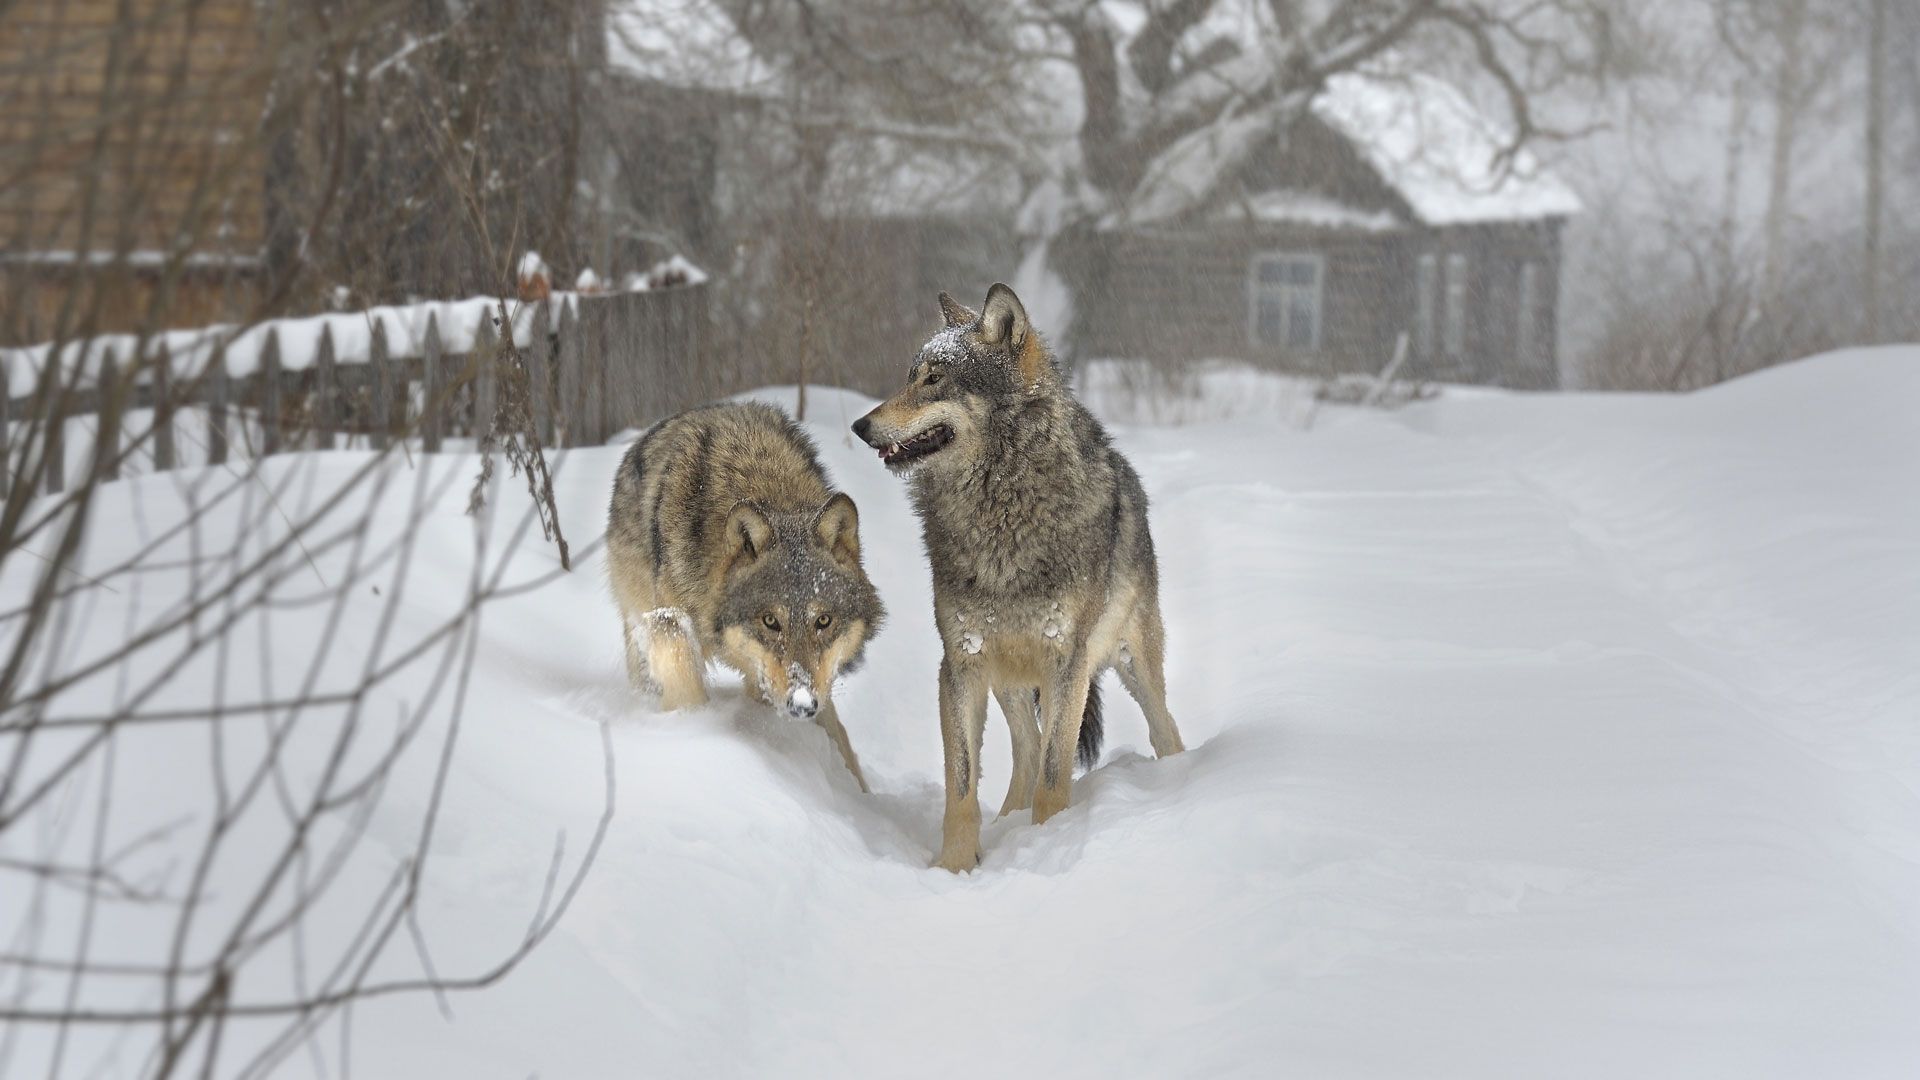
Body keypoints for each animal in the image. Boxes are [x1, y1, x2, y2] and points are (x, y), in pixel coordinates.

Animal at [606, 399, 883, 787]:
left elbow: (837, 734)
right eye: (770, 621)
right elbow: (685, 687)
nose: (802, 706)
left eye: (824, 621)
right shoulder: (668, 622)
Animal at [856, 284, 1182, 864]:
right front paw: (955, 866)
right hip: (1008, 680)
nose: (860, 426)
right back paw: (1008, 824)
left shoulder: (1067, 664)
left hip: (1130, 664)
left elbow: (1054, 776)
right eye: (911, 375)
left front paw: (1049, 847)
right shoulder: (960, 663)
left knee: (1163, 729)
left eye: (934, 379)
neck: (999, 511)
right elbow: (962, 786)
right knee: (1026, 753)